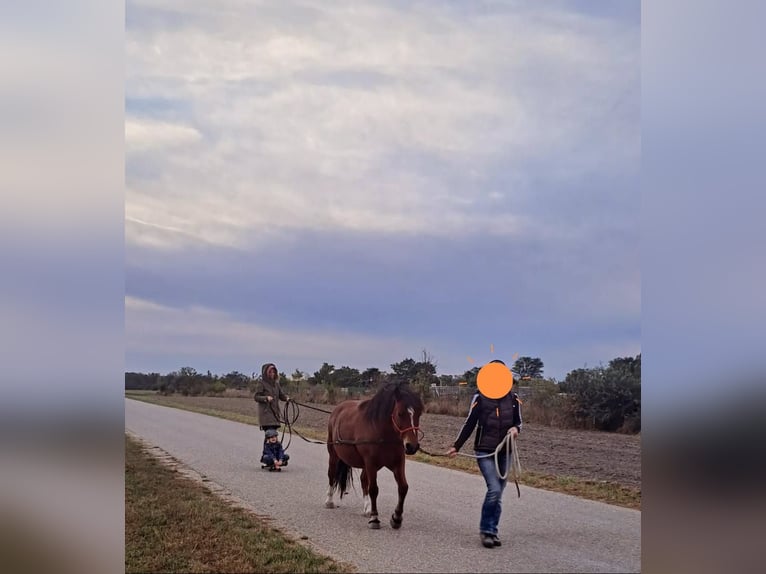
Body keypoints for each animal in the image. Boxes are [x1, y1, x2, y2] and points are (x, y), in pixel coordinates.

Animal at [324, 382, 426, 532]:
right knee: (332, 474)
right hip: (334, 455)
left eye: (419, 413)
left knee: (363, 480)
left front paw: (396, 518)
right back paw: (329, 501)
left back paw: (367, 508)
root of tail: (338, 409)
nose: (412, 446)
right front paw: (374, 519)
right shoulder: (371, 463)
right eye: (400, 413)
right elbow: (374, 489)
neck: (383, 433)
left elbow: (403, 487)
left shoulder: (398, 463)